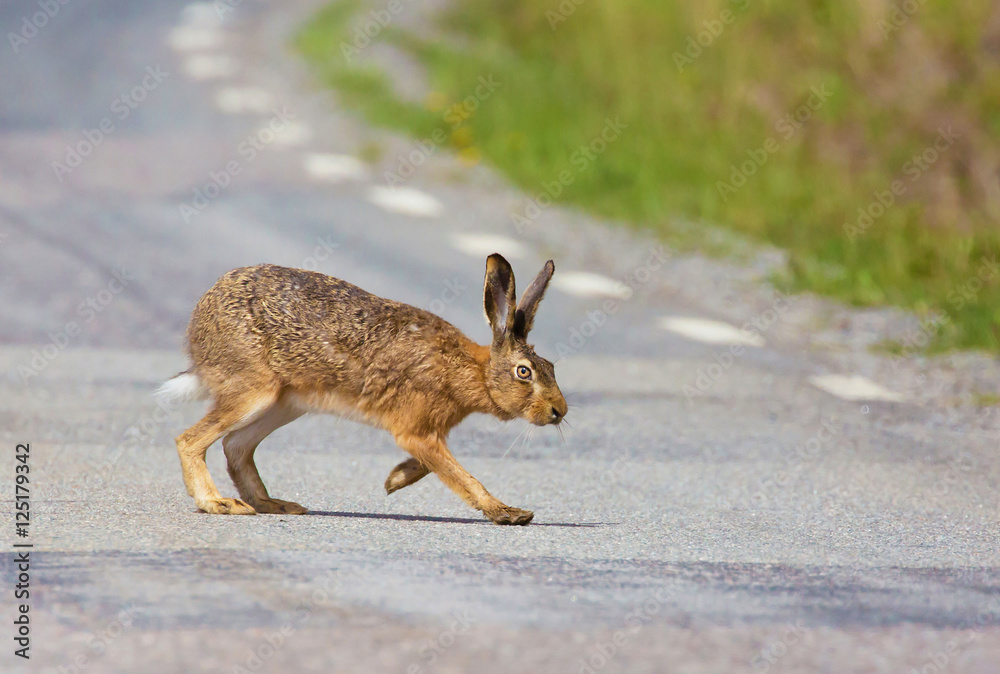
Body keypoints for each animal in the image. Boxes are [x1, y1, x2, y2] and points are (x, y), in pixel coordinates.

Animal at [158, 254, 567, 525]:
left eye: (551, 368)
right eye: (524, 372)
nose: (559, 411)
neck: (473, 371)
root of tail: (200, 323)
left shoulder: (428, 433)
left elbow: (434, 465)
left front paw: (395, 479)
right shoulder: (416, 429)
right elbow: (459, 475)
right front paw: (508, 513)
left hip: (285, 403)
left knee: (236, 446)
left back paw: (273, 504)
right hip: (254, 391)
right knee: (190, 440)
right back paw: (219, 503)